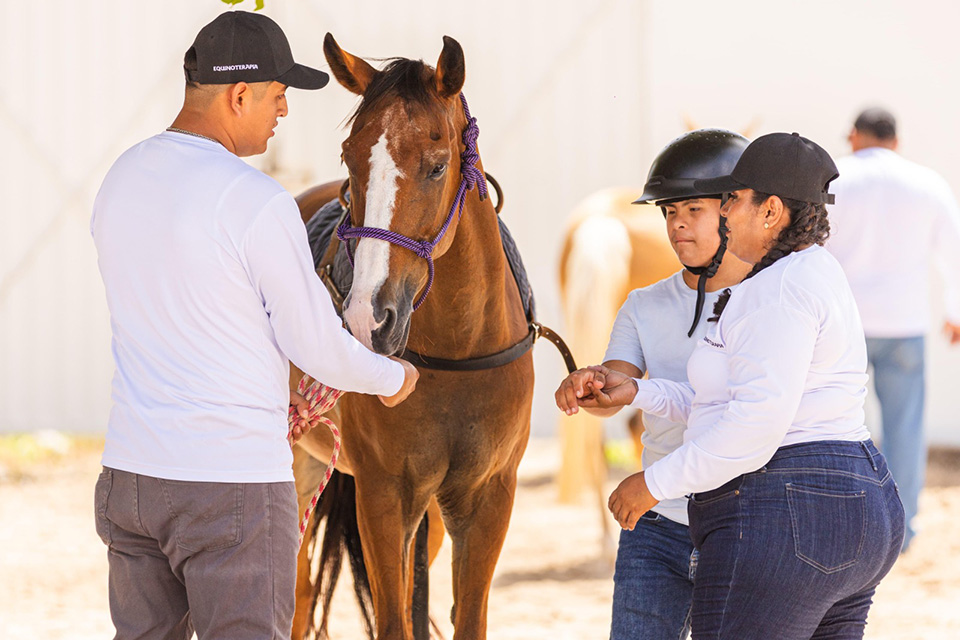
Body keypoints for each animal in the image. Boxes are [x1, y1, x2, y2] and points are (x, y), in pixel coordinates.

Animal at [288, 35, 536, 640]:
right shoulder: (383, 495)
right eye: (350, 158)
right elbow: (393, 620)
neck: (457, 353)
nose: (367, 318)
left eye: (437, 165)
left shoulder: (487, 498)